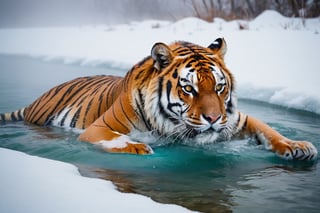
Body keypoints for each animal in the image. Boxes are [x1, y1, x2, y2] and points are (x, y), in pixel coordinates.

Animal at [0, 37, 316, 160]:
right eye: (189, 89)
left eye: (219, 88)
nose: (213, 119)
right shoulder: (98, 128)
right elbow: (117, 139)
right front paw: (139, 147)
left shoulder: (238, 119)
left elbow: (271, 132)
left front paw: (299, 146)